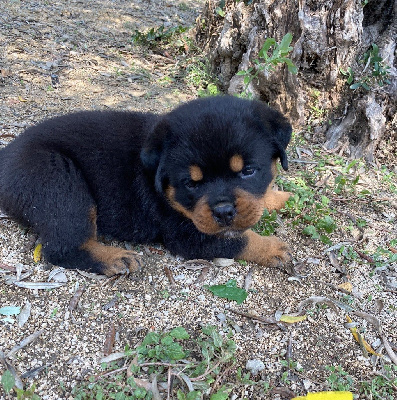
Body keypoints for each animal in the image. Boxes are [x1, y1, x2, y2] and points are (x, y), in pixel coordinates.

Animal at [0, 97, 290, 278]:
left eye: (248, 171)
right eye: (191, 183)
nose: (224, 212)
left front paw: (278, 197)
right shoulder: (184, 234)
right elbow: (238, 240)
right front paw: (272, 248)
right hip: (59, 182)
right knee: (63, 247)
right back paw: (115, 258)